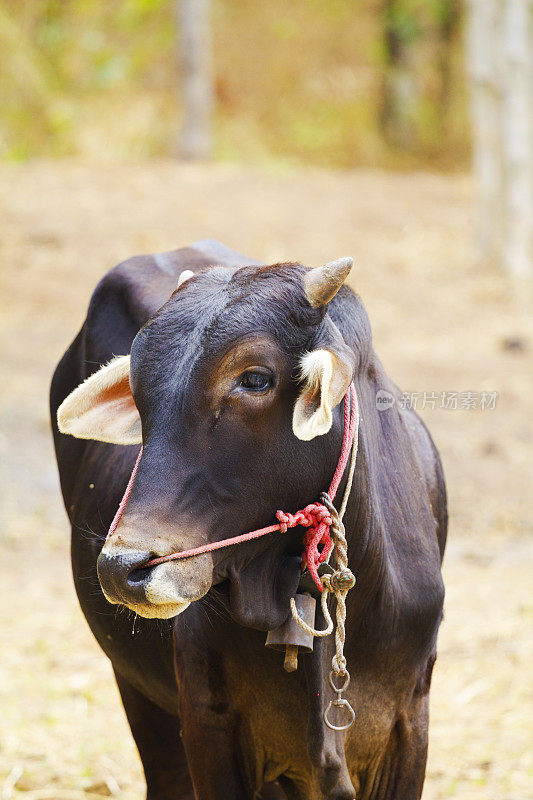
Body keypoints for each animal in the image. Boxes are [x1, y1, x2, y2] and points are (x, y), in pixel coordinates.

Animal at [52, 241, 446, 800]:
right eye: (140, 386)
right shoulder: (209, 723)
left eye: (255, 379)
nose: (123, 569)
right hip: (140, 695)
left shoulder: (409, 727)